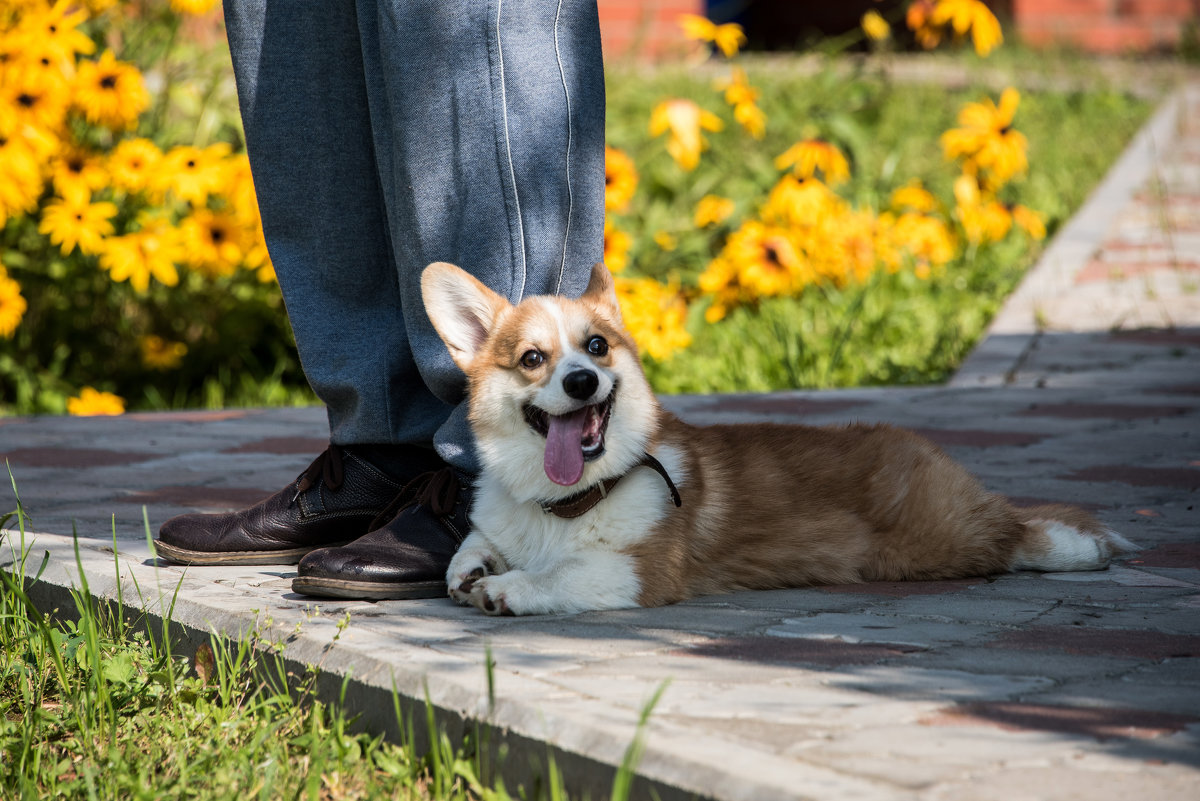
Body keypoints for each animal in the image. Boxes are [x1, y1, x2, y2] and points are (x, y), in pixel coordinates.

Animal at [420, 260, 1132, 618]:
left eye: (596, 346)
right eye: (532, 359)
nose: (581, 380)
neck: (564, 504)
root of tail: (922, 447)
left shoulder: (637, 572)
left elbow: (563, 574)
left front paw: (510, 589)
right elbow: (474, 546)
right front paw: (472, 569)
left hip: (937, 540)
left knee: (1017, 531)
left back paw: (1082, 547)